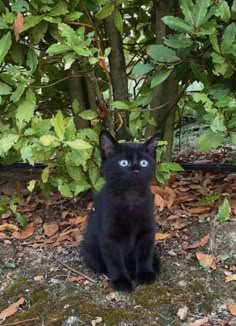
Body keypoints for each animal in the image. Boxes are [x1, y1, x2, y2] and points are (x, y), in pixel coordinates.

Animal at [80, 131, 159, 292]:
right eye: (124, 163)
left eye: (144, 163)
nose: (136, 170)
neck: (130, 198)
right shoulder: (109, 237)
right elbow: (115, 260)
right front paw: (121, 281)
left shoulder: (147, 231)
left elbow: (144, 254)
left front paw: (145, 274)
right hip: (87, 250)